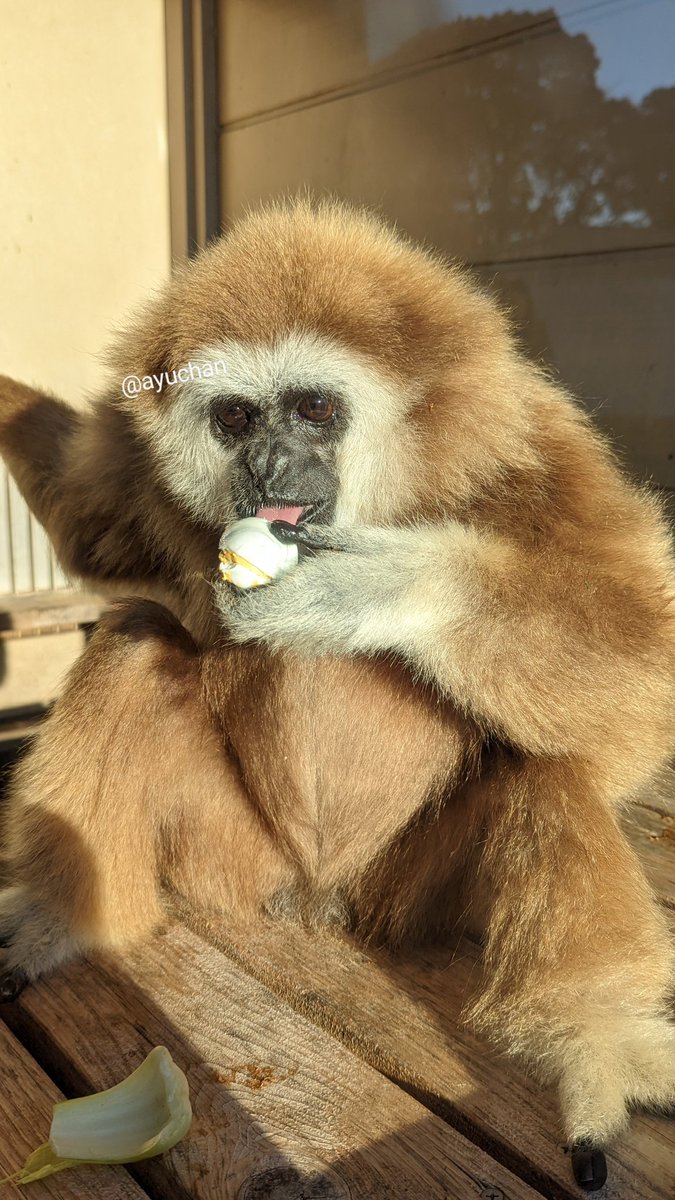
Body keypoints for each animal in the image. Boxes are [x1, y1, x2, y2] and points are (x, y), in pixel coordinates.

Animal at [0, 199, 674, 1192]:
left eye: (314, 407)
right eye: (235, 417)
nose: (268, 461)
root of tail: (321, 897)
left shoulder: (532, 445)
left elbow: (642, 673)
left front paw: (373, 586)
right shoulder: (131, 469)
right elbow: (86, 525)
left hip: (414, 890)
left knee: (552, 761)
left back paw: (592, 1043)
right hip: (233, 857)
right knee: (130, 641)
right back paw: (62, 916)